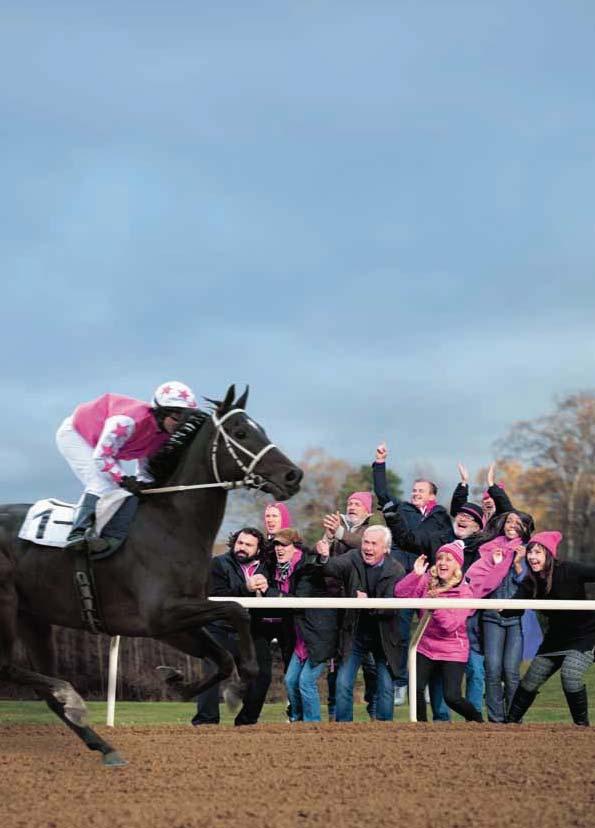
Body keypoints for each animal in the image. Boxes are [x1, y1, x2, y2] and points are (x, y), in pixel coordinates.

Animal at [0, 384, 302, 768]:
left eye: (259, 427)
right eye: (240, 433)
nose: (293, 476)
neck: (170, 524)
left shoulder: (171, 624)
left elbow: (220, 657)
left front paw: (180, 681)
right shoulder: (159, 614)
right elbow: (237, 610)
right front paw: (238, 684)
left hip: (33, 617)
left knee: (44, 690)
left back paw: (103, 744)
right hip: (6, 605)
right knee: (8, 667)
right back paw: (72, 696)